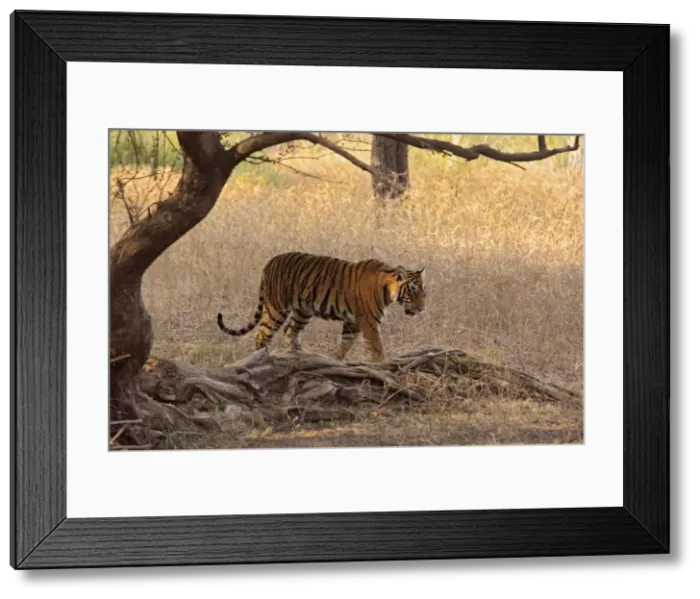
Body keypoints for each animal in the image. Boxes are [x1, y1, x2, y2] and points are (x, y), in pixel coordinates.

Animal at [216, 251, 427, 362]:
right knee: (262, 334)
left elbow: (345, 344)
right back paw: (261, 357)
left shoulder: (352, 322)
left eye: (423, 293)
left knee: (290, 331)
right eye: (412, 291)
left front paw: (336, 361)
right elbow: (377, 347)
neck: (387, 290)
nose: (421, 309)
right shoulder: (369, 322)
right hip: (277, 308)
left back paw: (299, 354)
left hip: (303, 311)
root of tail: (270, 261)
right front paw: (383, 363)